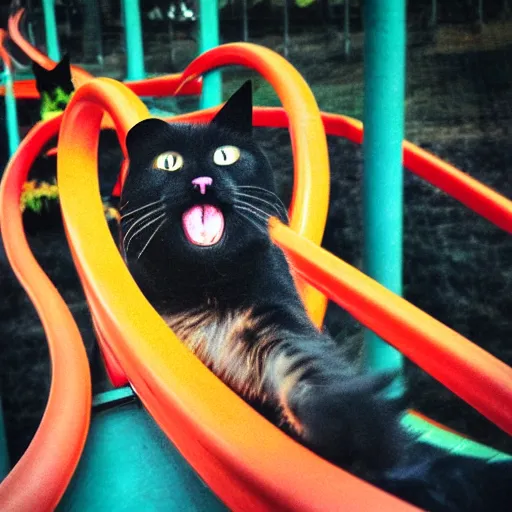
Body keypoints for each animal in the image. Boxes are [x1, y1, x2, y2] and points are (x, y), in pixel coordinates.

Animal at [118, 81, 510, 512]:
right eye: (168, 163)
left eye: (225, 156)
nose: (202, 181)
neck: (205, 285)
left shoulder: (274, 320)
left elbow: (305, 374)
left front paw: (350, 418)